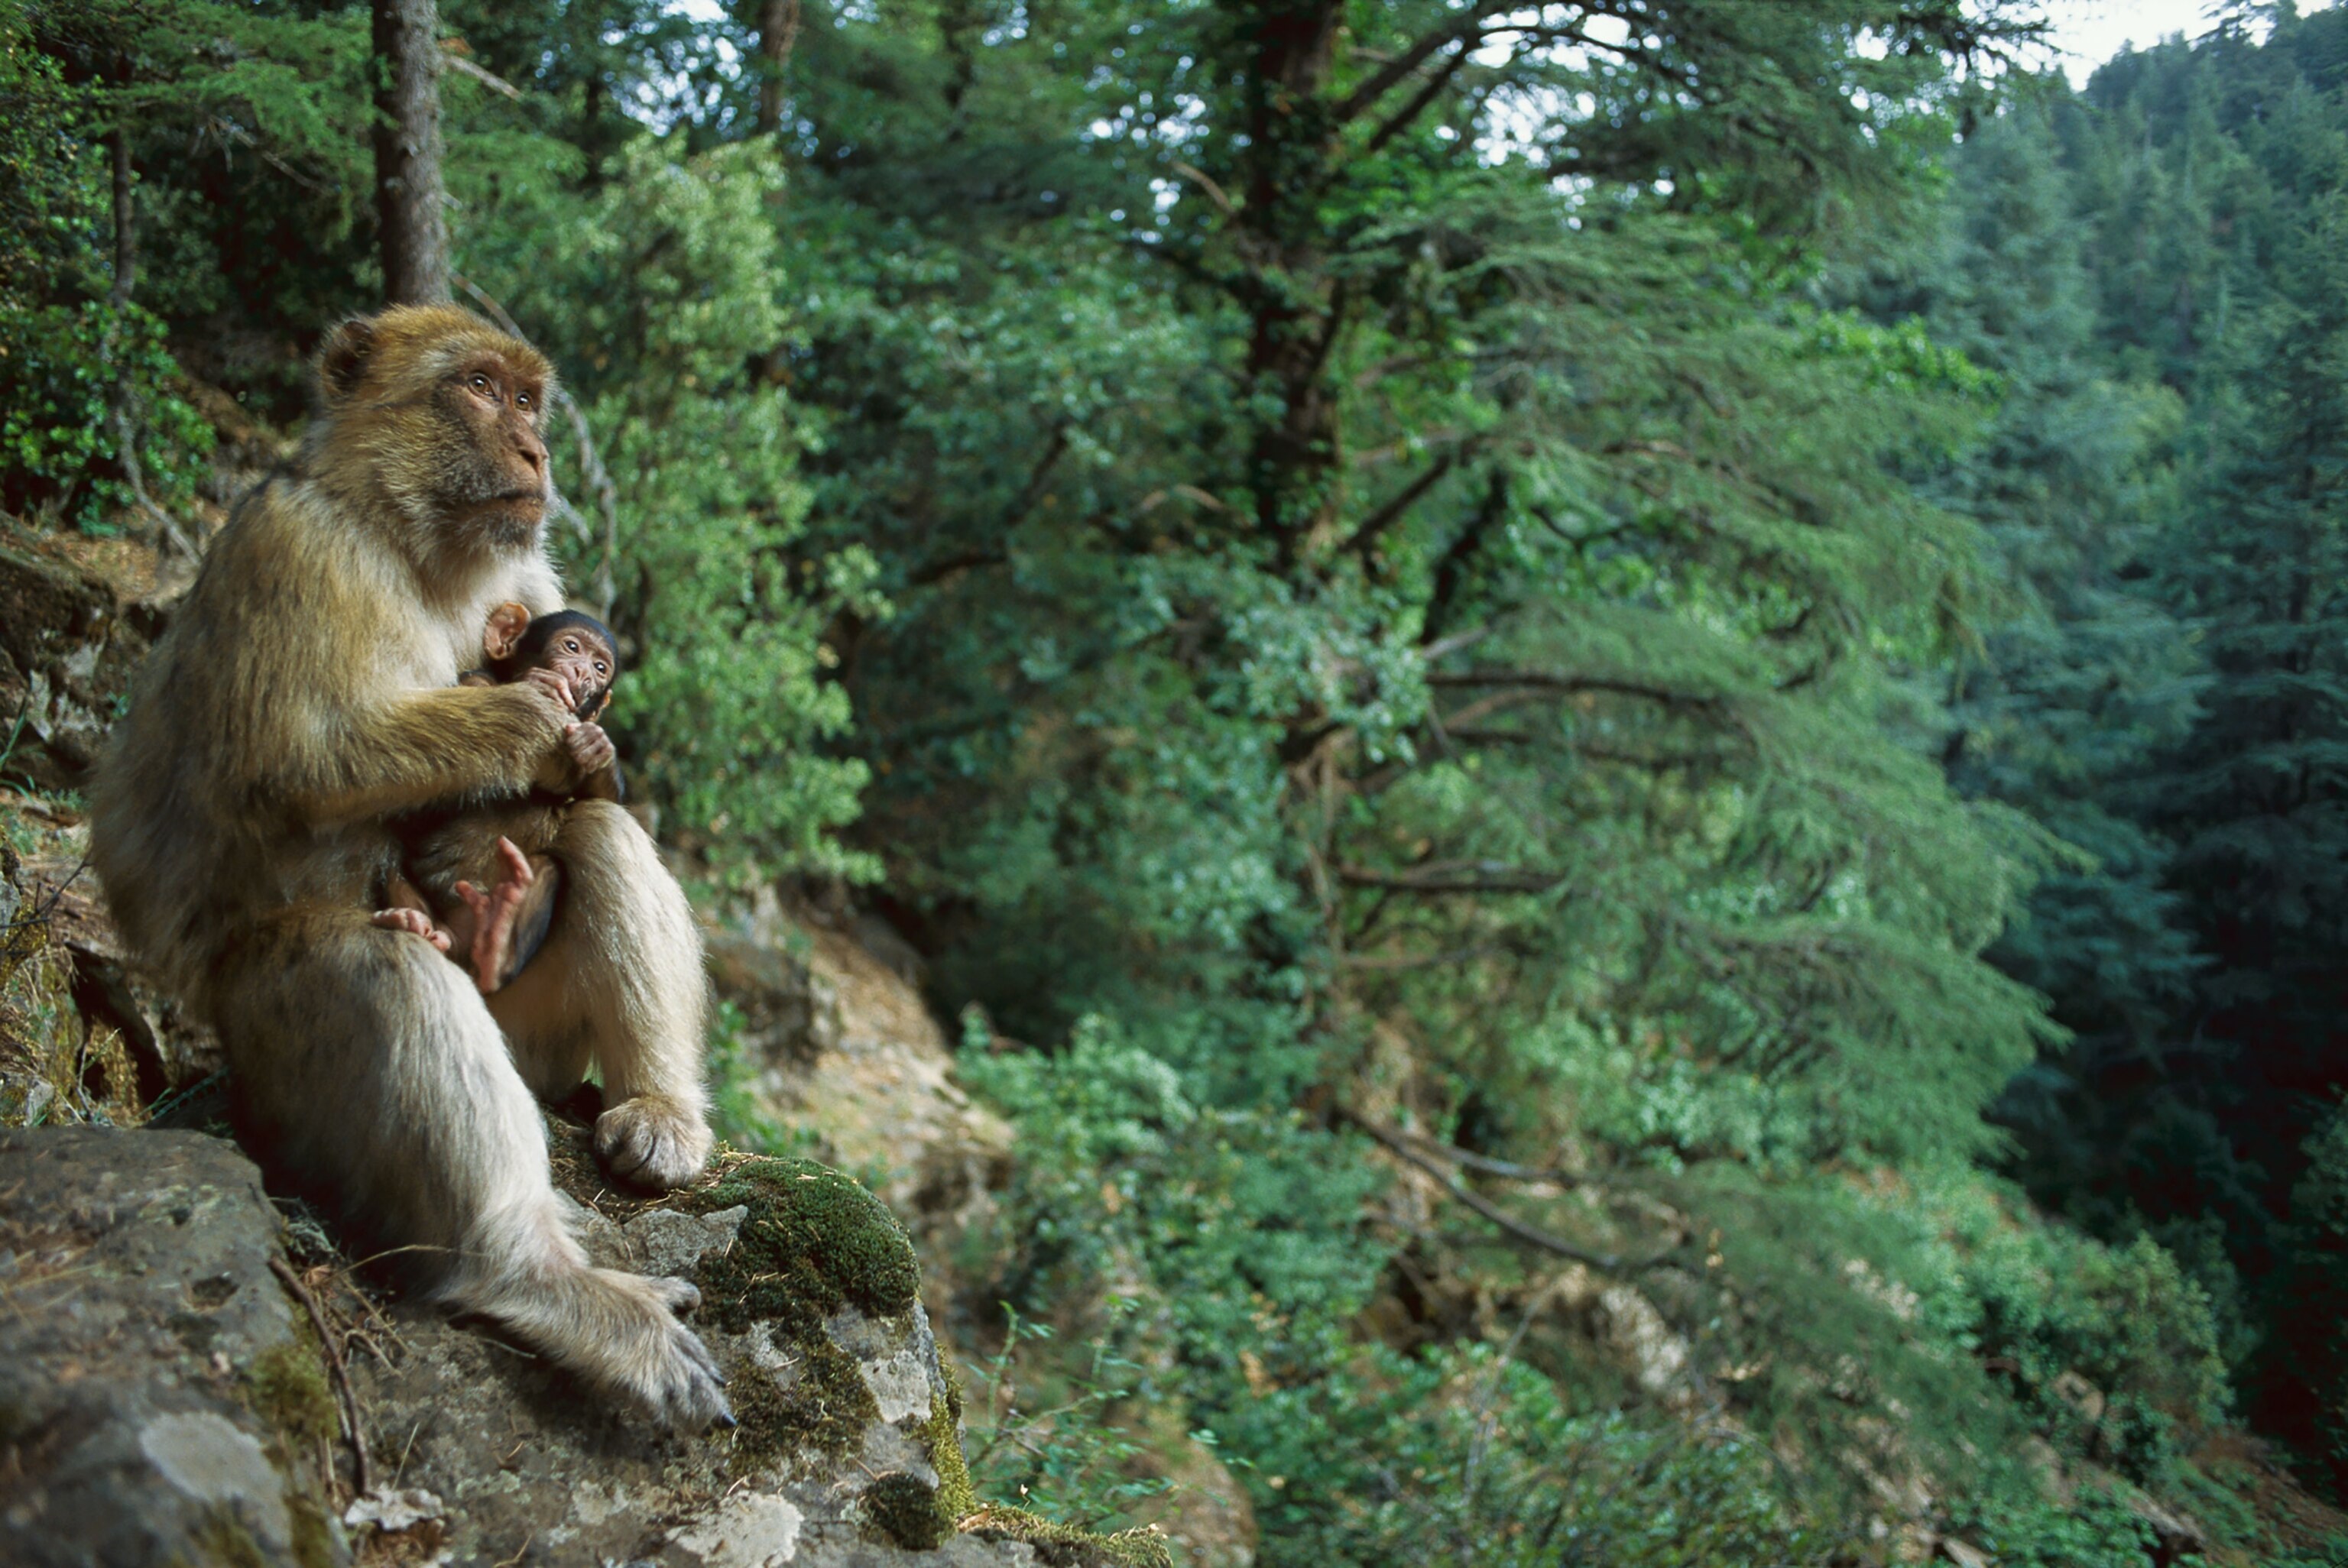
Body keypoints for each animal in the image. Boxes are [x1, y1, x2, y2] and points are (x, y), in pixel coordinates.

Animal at [372, 604, 625, 994]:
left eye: (601, 668)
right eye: (571, 646)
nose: (582, 671)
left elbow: (596, 795)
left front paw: (598, 748)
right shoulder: (476, 684)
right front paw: (537, 684)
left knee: (546, 870)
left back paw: (498, 940)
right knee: (393, 866)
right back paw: (410, 919)